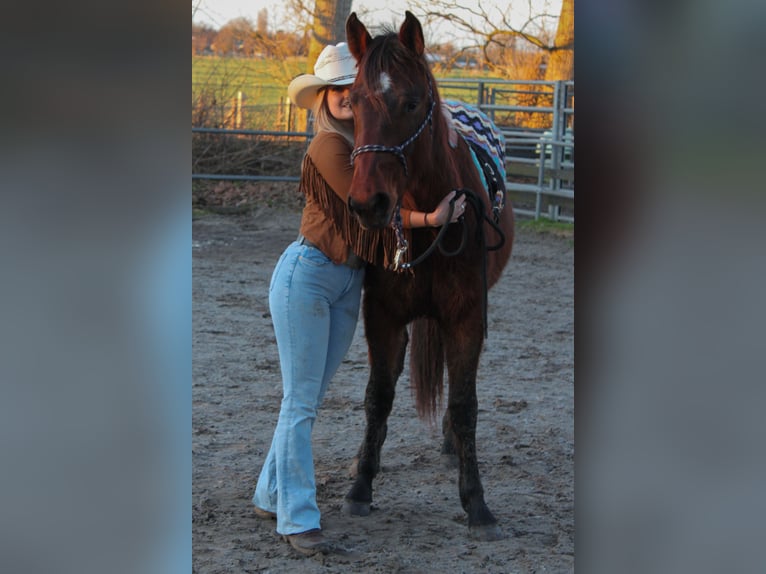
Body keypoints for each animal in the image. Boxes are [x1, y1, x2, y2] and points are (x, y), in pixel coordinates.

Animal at [344, 11, 516, 544]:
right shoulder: (381, 317)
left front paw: (476, 502)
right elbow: (378, 396)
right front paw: (361, 485)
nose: (367, 204)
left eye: (412, 102)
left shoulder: (467, 318)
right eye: (353, 102)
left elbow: (464, 403)